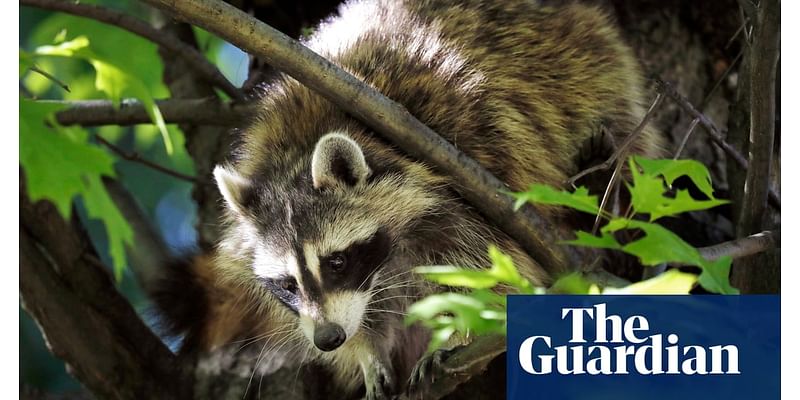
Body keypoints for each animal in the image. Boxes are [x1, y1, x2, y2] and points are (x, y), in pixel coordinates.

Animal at [152, 0, 664, 396]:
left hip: (599, 76)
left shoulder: (475, 176)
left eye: (336, 262)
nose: (329, 339)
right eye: (287, 284)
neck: (297, 151)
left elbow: (492, 270)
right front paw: (365, 351)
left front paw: (455, 333)